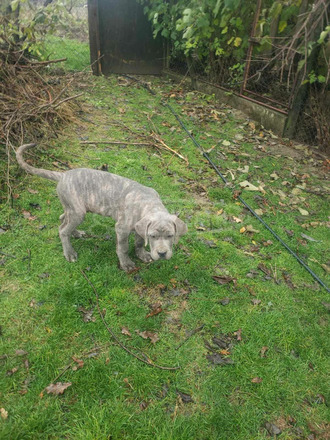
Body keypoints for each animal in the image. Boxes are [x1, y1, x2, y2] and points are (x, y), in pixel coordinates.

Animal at [16, 143, 187, 270]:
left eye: (170, 236)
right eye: (153, 236)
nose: (162, 253)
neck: (149, 203)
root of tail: (63, 175)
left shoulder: (140, 226)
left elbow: (139, 242)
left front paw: (143, 254)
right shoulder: (122, 228)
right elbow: (123, 248)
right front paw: (126, 264)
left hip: (73, 208)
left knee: (63, 218)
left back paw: (76, 233)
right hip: (78, 211)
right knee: (63, 230)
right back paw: (69, 253)